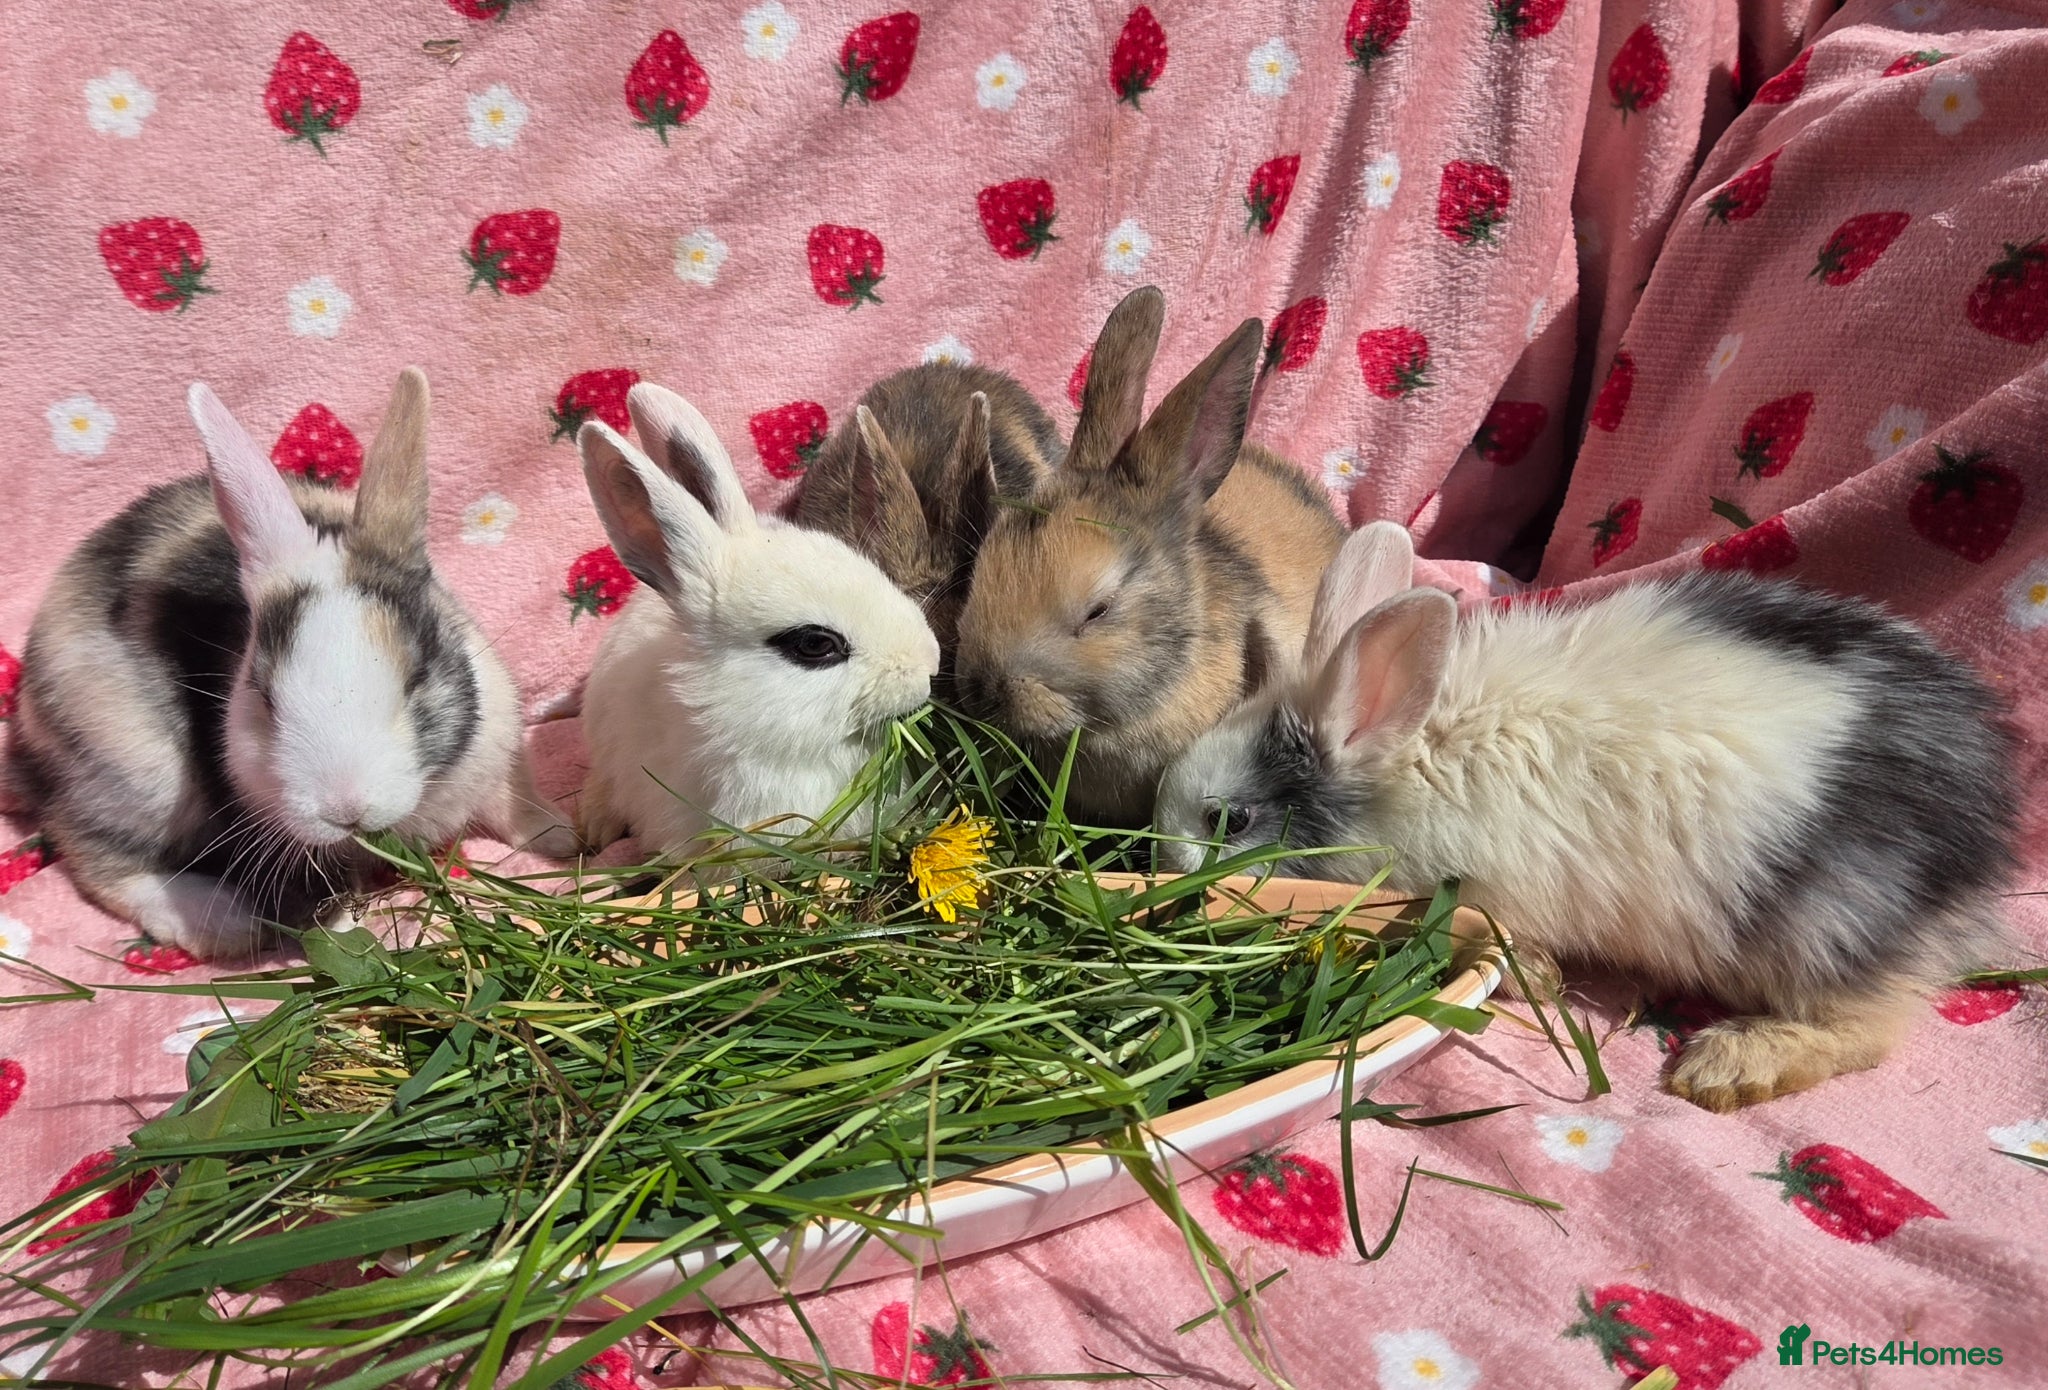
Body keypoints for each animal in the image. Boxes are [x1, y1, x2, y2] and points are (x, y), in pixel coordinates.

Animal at [3, 368, 577, 961]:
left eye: (417, 677)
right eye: (263, 697)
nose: (345, 810)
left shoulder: (499, 755)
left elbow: (514, 804)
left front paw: (566, 838)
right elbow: (322, 915)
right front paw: (361, 944)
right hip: (139, 775)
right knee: (88, 849)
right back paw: (222, 920)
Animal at [1153, 520, 2020, 1112]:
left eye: (1230, 820)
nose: (1162, 868)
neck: (1410, 754)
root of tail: (1982, 840)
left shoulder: (1499, 897)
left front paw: (1535, 978)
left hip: (1822, 924)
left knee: (1874, 1026)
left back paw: (1729, 1064)